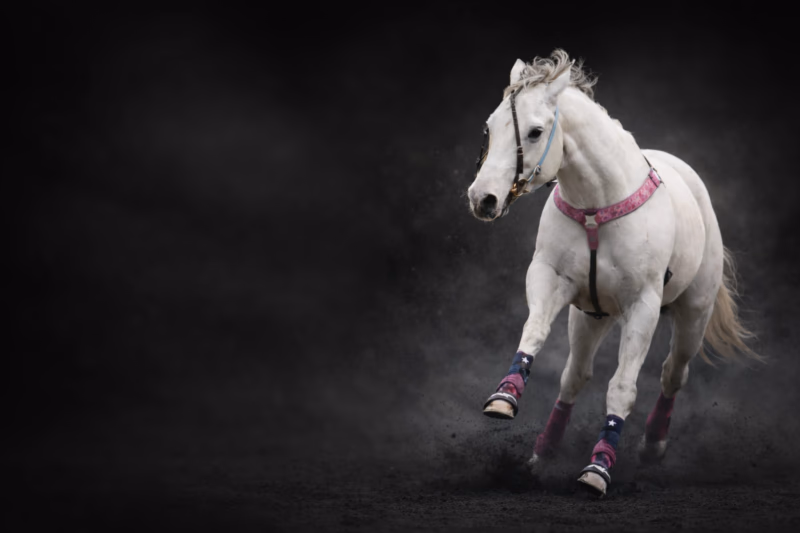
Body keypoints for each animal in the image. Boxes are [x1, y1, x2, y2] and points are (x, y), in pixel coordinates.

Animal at [466, 49, 759, 496]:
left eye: (534, 132)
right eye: (489, 126)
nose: (483, 198)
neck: (596, 209)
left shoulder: (643, 306)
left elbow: (622, 387)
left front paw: (598, 468)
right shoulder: (549, 277)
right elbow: (534, 330)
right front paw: (505, 397)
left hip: (695, 312)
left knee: (674, 372)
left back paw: (653, 445)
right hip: (590, 317)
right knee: (575, 376)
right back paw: (544, 451)